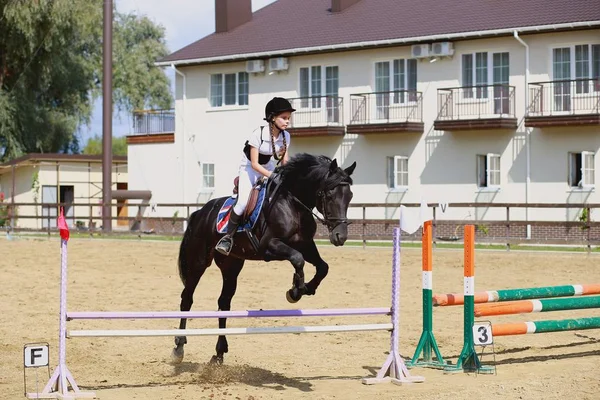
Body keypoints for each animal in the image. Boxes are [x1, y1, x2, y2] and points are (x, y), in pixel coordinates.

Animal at [170, 152, 356, 362]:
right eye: (330, 194)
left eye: (349, 196)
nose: (340, 236)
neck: (293, 205)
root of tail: (200, 212)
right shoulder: (269, 246)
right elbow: (297, 258)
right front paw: (296, 290)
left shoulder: (306, 245)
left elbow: (322, 267)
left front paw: (306, 287)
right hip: (198, 262)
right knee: (187, 298)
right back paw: (179, 346)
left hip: (231, 265)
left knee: (224, 301)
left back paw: (219, 351)